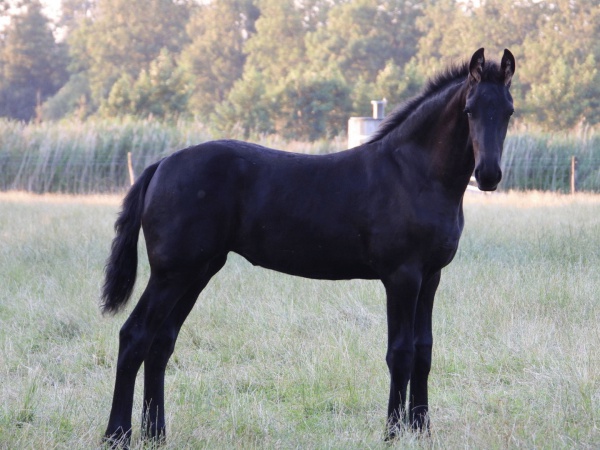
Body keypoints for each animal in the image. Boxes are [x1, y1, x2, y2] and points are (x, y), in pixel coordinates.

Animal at [101, 47, 512, 444]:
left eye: (509, 110)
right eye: (469, 109)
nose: (488, 175)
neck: (413, 173)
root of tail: (161, 165)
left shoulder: (431, 277)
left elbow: (424, 351)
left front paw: (422, 428)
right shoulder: (402, 277)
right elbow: (401, 352)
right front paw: (394, 432)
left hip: (196, 273)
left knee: (160, 344)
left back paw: (156, 434)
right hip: (171, 274)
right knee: (134, 337)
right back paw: (117, 435)